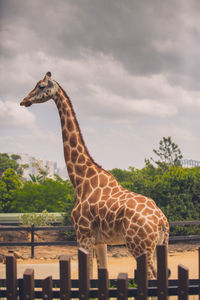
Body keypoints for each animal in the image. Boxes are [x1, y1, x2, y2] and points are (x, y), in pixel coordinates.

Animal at [20, 72, 169, 278]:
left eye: (41, 86)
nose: (24, 100)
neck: (82, 181)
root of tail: (162, 221)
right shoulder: (100, 241)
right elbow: (101, 273)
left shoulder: (83, 235)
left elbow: (88, 275)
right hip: (159, 245)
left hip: (139, 246)